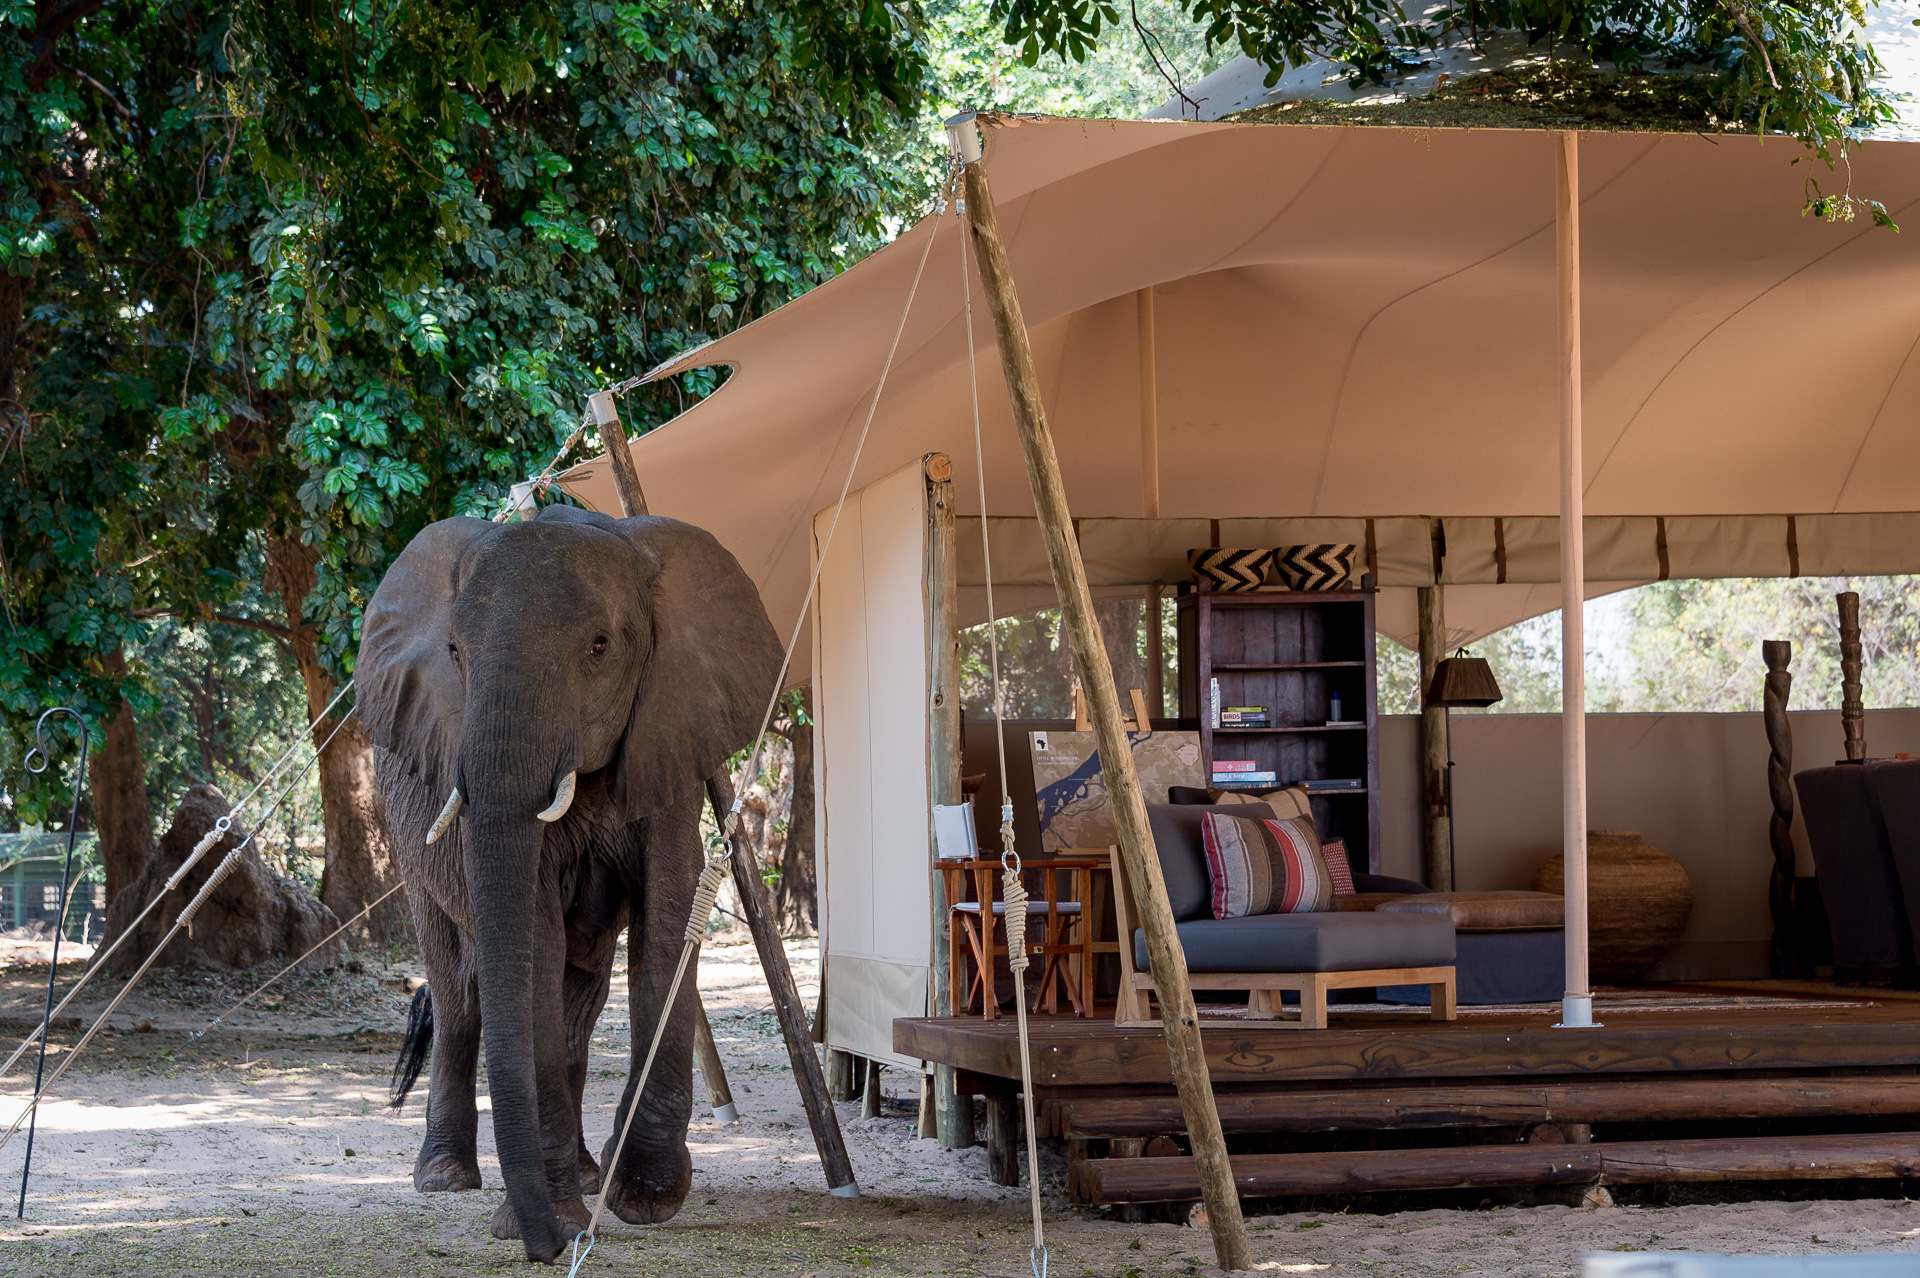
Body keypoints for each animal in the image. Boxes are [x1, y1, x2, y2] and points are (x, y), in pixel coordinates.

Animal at [354, 503, 783, 1261]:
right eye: (455, 651)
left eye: (601, 647)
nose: (551, 1246)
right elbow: (532, 939)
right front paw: (549, 1218)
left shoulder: (668, 734)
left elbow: (667, 920)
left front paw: (643, 1197)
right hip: (406, 841)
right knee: (460, 995)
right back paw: (446, 1179)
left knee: (577, 1000)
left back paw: (585, 1176)